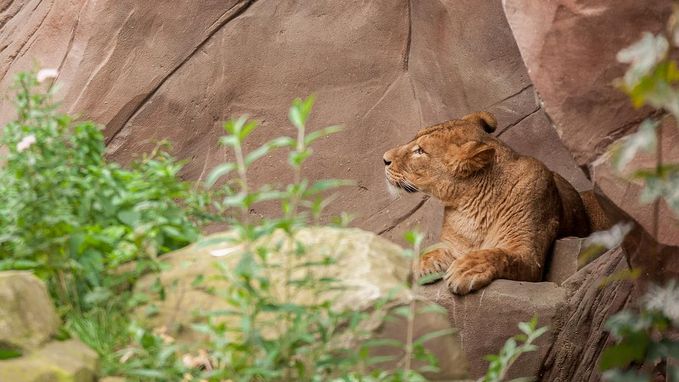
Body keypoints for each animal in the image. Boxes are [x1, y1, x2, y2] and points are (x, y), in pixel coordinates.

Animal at [386, 111, 592, 296]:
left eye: (420, 151)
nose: (384, 159)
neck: (471, 204)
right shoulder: (454, 245)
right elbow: (432, 250)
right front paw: (422, 264)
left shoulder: (530, 256)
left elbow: (499, 254)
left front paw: (467, 269)